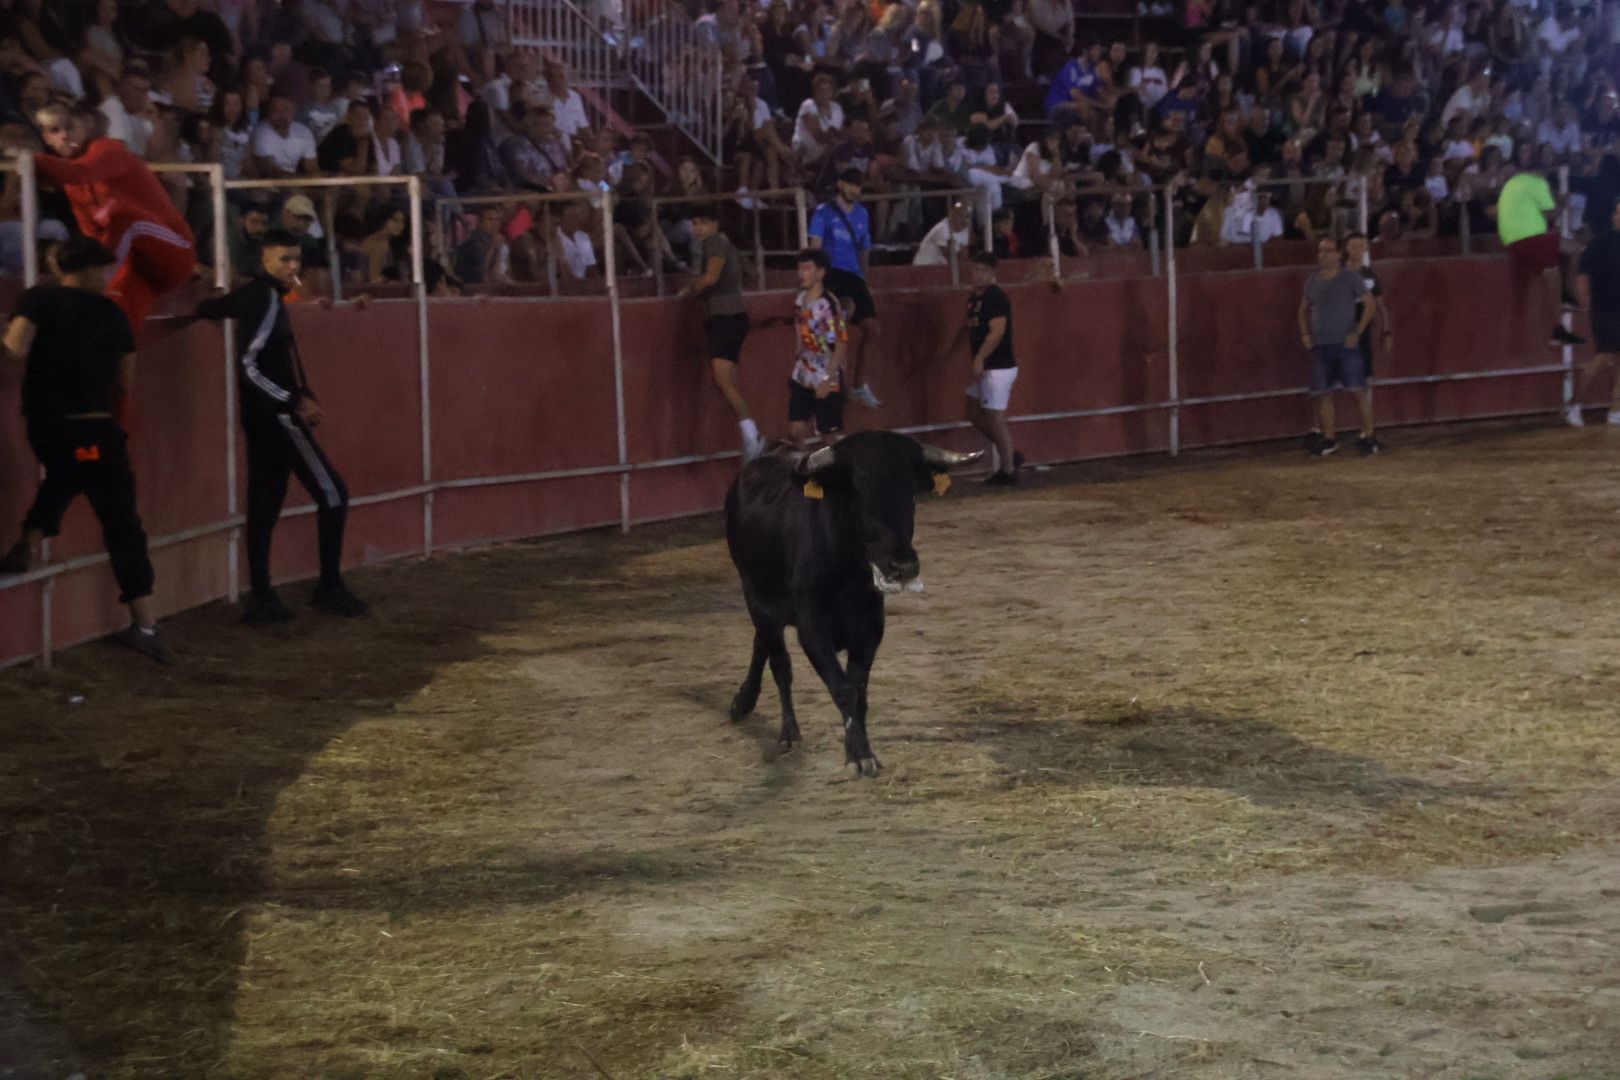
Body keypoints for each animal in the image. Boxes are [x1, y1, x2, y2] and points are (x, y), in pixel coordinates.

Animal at [725, 430, 978, 777]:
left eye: (911, 489)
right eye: (858, 489)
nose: (903, 566)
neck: (847, 570)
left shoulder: (870, 629)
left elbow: (858, 690)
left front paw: (861, 749)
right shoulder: (812, 629)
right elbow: (842, 687)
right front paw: (858, 755)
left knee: (761, 644)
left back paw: (743, 702)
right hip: (755, 598)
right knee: (779, 663)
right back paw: (788, 732)